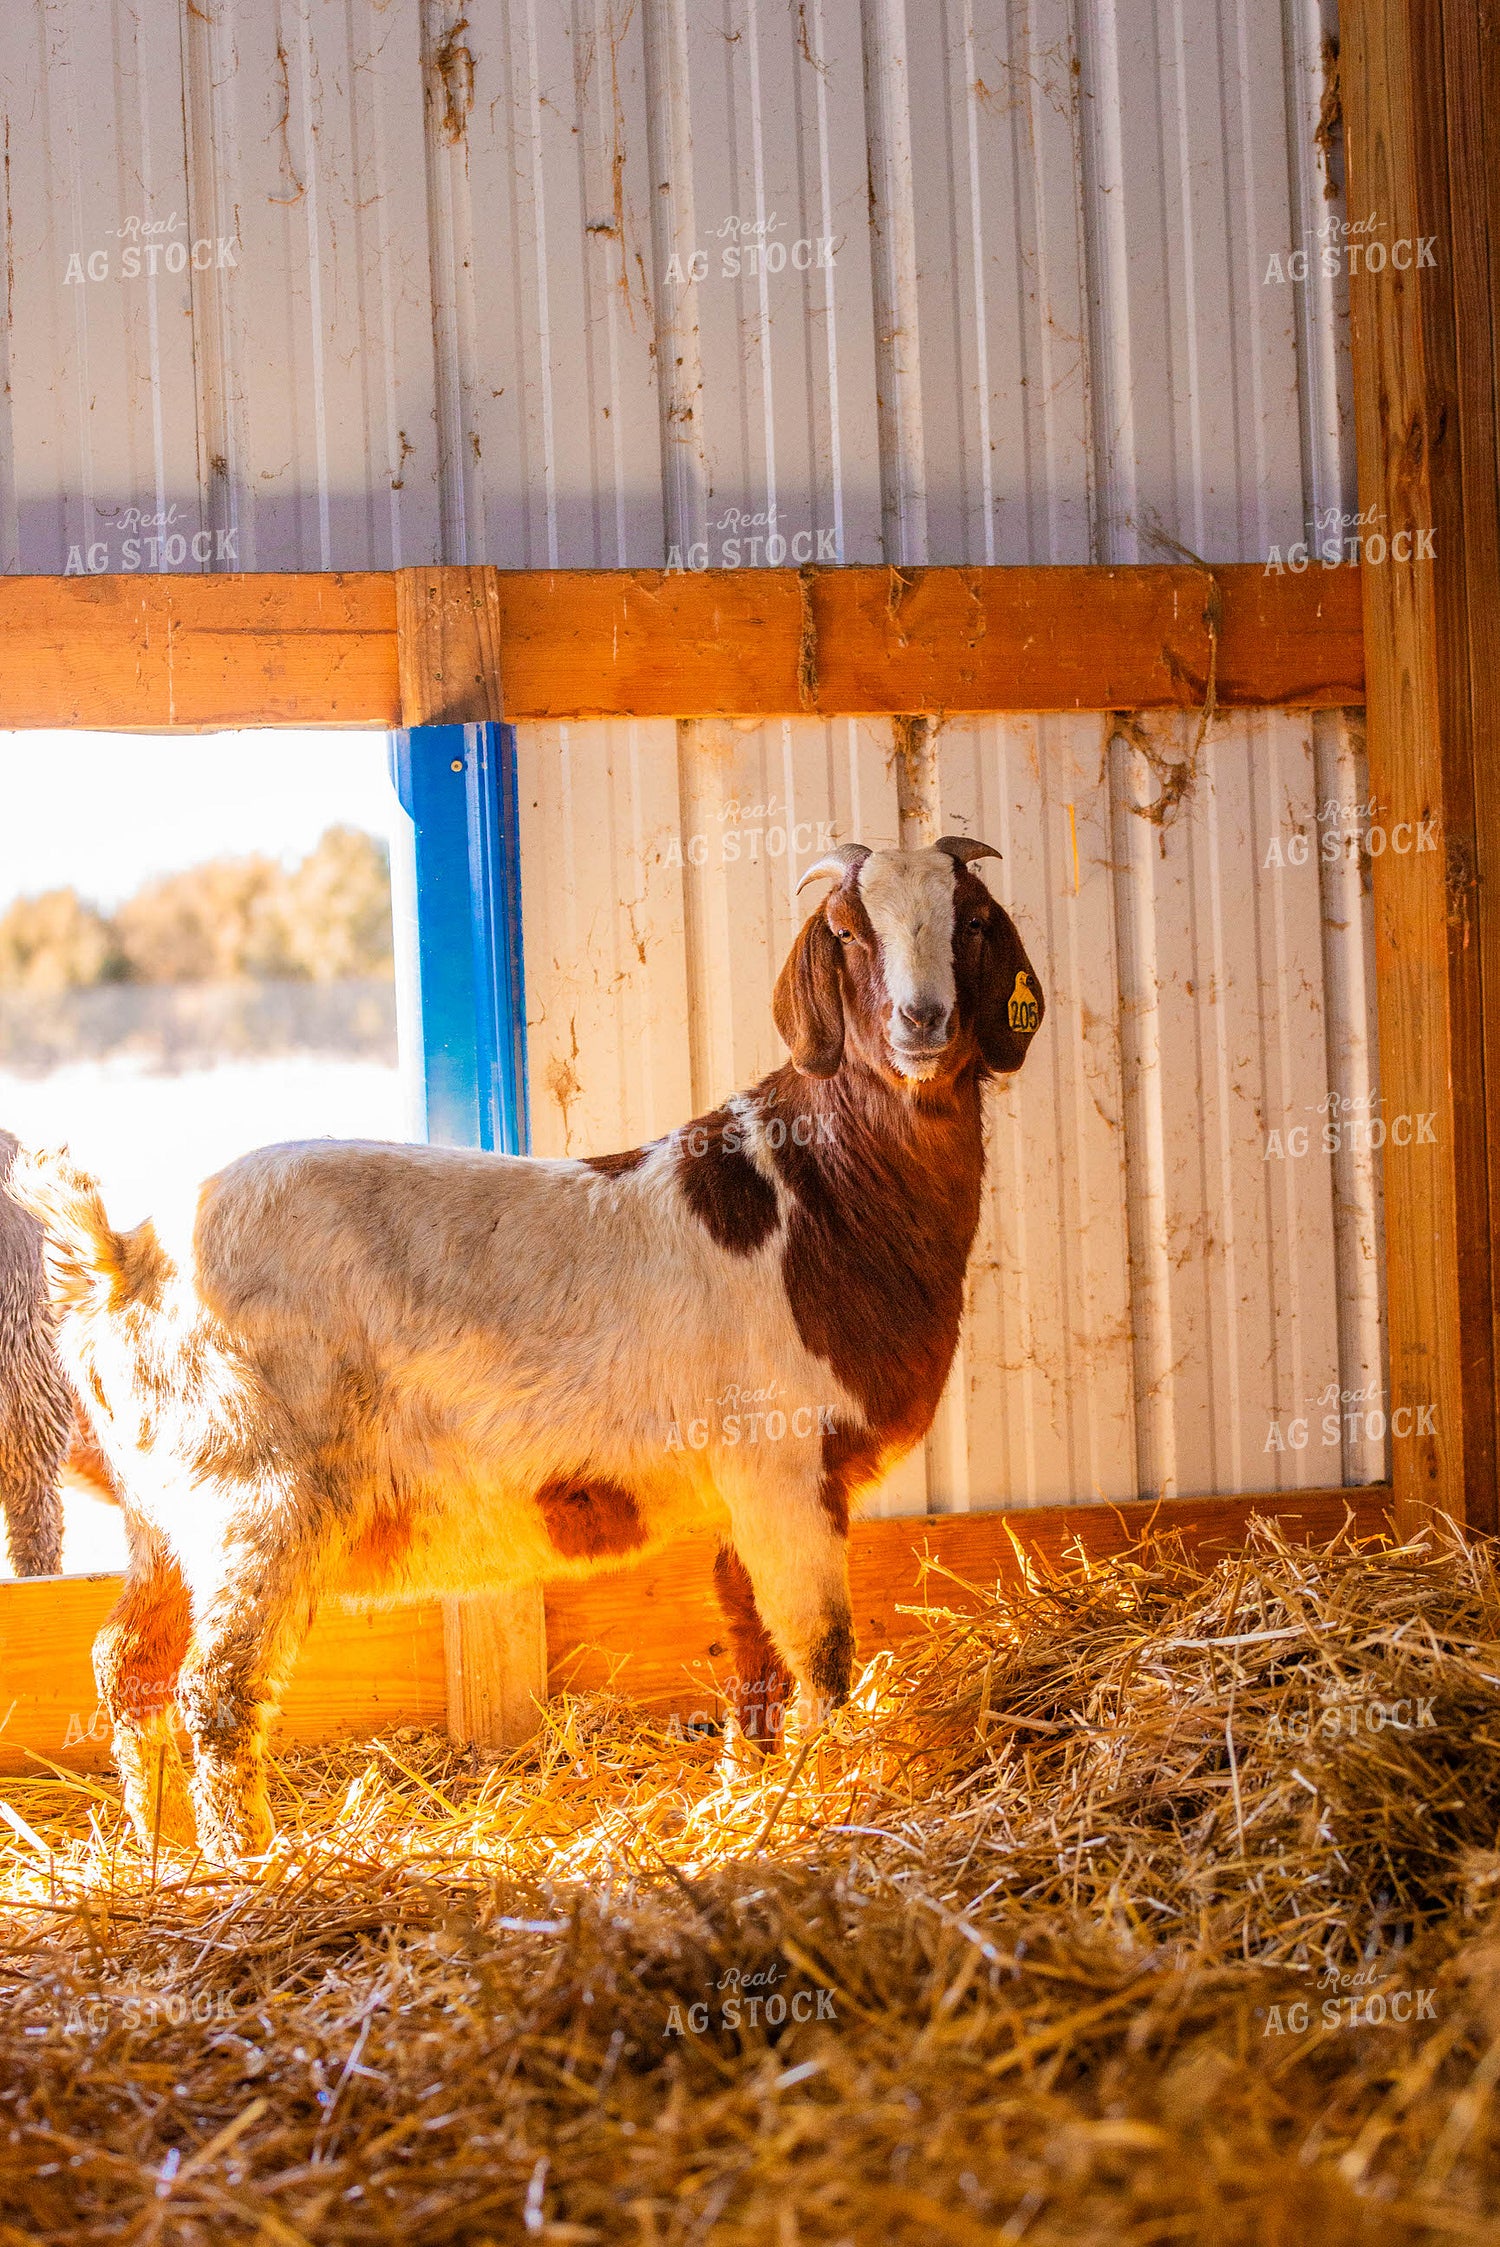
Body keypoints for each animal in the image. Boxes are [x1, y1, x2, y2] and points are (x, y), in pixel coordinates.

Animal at [8, 837, 1044, 1864]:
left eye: (974, 920)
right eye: (846, 930)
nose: (923, 1020)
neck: (819, 1191)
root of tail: (123, 1257)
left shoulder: (739, 1495)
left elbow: (753, 1648)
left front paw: (750, 1793)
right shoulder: (783, 1466)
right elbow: (822, 1652)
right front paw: (829, 1798)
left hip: (163, 1511)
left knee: (127, 1661)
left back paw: (160, 1852)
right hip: (251, 1498)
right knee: (216, 1690)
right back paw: (248, 1864)